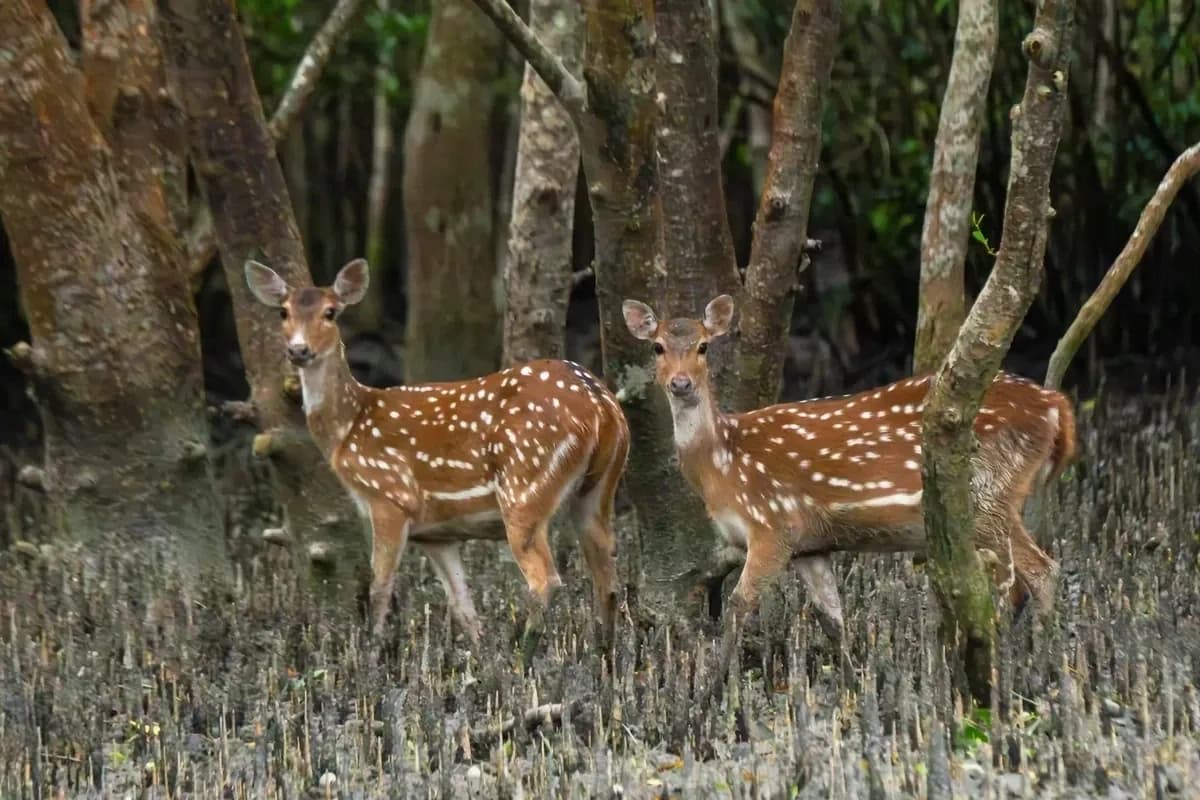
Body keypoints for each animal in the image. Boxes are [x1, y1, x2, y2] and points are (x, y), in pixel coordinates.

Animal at [245, 258, 630, 647]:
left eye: (330, 312)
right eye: (283, 311)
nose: (298, 350)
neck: (347, 428)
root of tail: (601, 405)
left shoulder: (390, 498)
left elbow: (379, 589)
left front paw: (375, 650)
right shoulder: (436, 534)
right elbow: (463, 607)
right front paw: (477, 654)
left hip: (525, 485)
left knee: (545, 579)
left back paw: (520, 648)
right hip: (598, 488)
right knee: (608, 581)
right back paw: (601, 653)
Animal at [622, 294, 1077, 640]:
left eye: (703, 346)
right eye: (657, 347)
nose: (681, 384)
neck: (722, 463)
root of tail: (1056, 405)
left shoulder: (772, 525)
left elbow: (737, 608)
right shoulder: (811, 546)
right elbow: (834, 623)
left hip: (988, 494)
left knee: (1036, 572)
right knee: (1032, 573)